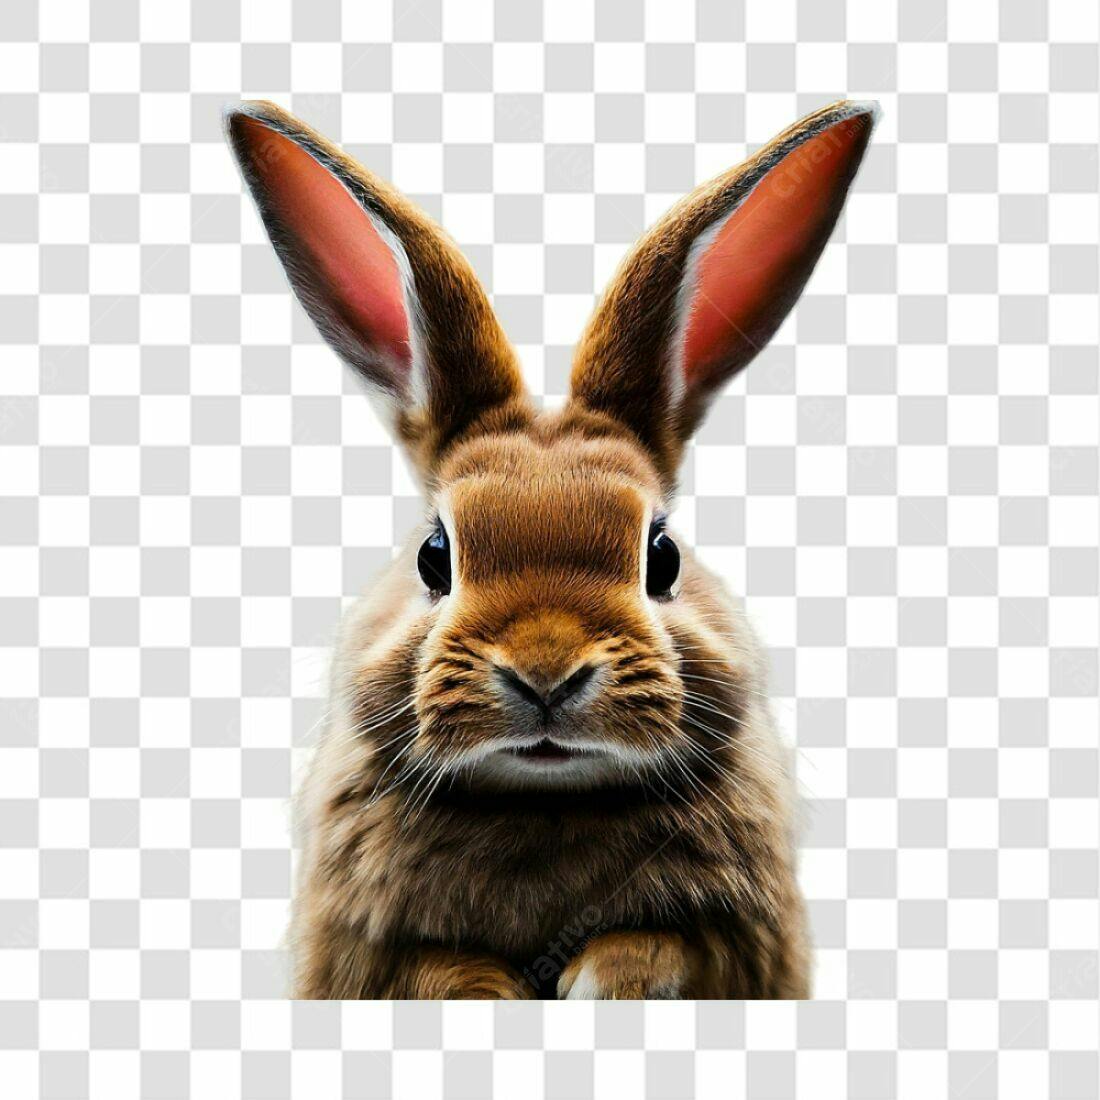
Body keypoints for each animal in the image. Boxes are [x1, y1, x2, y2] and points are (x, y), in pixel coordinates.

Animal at [225, 97, 877, 999]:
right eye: (434, 556)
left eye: (662, 557)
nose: (545, 672)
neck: (545, 794)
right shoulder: (368, 952)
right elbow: (436, 968)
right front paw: (492, 993)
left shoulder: (733, 941)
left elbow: (656, 947)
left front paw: (602, 981)